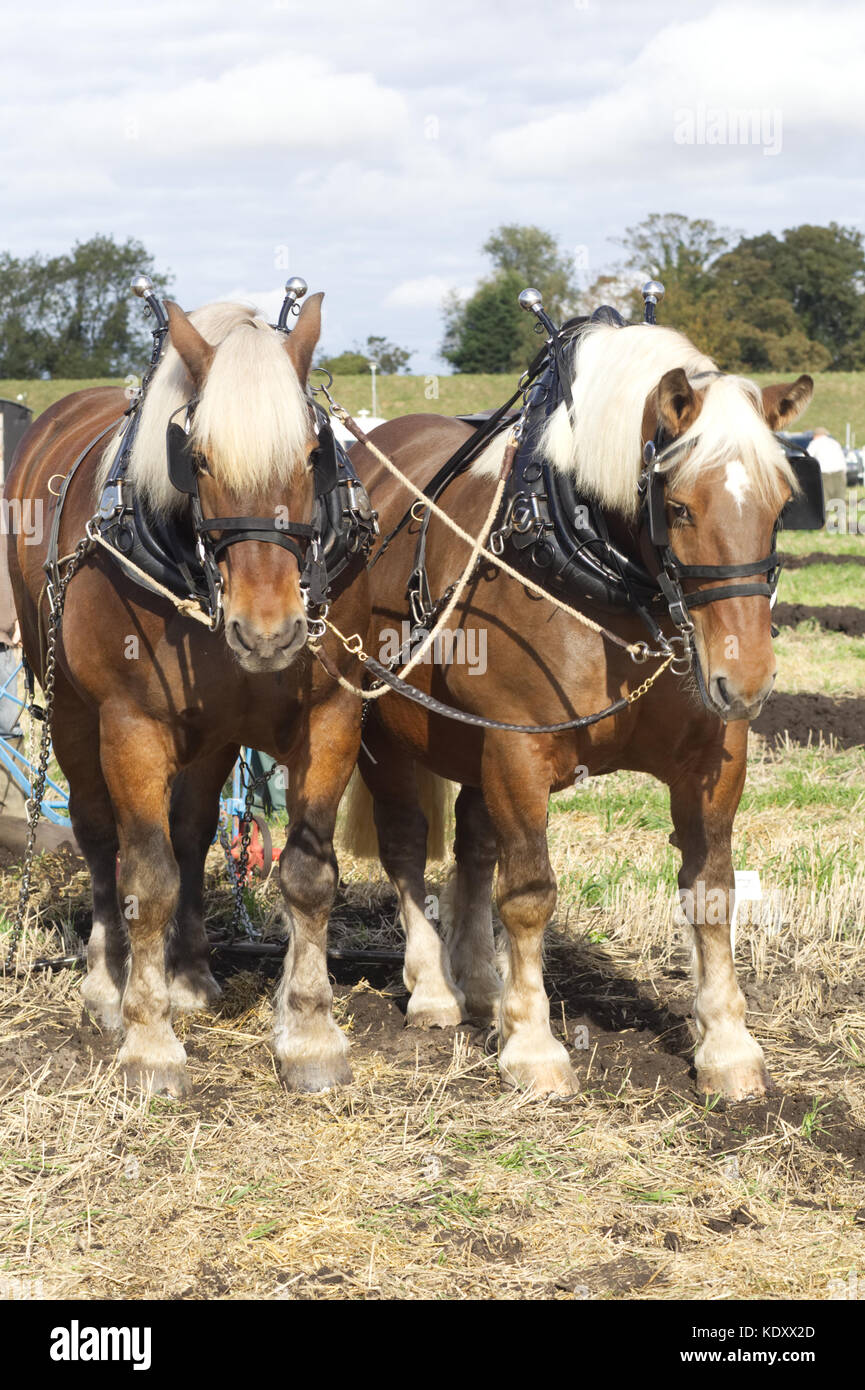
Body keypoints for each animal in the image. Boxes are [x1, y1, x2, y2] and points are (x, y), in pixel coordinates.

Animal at [6, 294, 369, 1096]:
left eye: (313, 454)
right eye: (196, 460)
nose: (268, 632)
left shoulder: (331, 715)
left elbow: (306, 876)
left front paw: (309, 1033)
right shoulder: (131, 725)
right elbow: (148, 874)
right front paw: (149, 1041)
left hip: (214, 735)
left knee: (197, 828)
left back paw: (191, 973)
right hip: (74, 714)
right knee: (99, 836)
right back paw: (108, 983)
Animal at [343, 317, 813, 1101]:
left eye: (781, 504)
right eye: (677, 507)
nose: (745, 679)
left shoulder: (712, 761)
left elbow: (712, 893)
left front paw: (726, 1045)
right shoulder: (518, 749)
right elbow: (530, 893)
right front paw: (533, 1047)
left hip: (471, 743)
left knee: (475, 848)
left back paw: (481, 984)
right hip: (380, 727)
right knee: (407, 846)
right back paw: (435, 990)